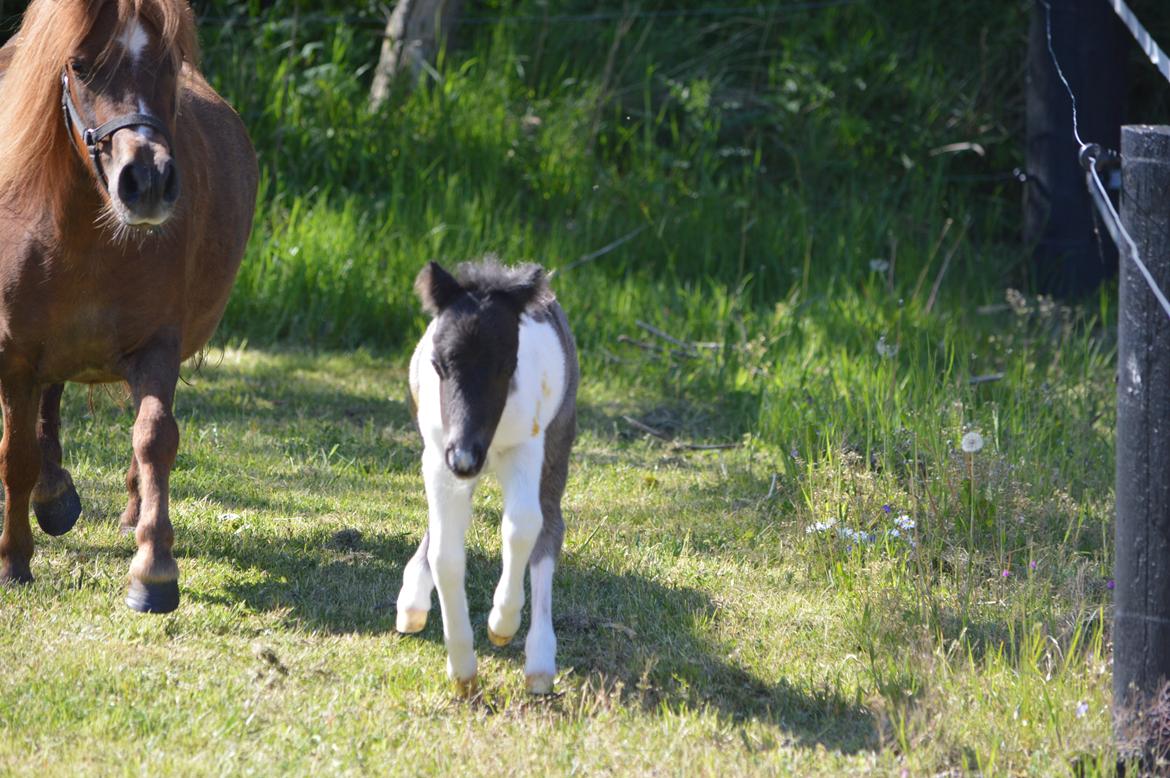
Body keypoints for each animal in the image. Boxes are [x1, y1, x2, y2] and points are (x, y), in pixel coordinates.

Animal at [0, 0, 256, 613]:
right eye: (79, 65)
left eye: (169, 62)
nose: (148, 180)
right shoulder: (14, 356)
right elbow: (15, 455)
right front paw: (14, 561)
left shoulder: (155, 345)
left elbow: (154, 437)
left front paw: (154, 570)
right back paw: (52, 496)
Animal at [400, 257, 577, 692]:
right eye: (438, 364)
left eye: (507, 365)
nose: (465, 457)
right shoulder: (438, 457)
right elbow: (446, 554)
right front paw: (463, 668)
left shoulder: (526, 448)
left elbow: (523, 527)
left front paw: (502, 623)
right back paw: (412, 602)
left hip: (557, 444)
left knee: (549, 526)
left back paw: (540, 661)